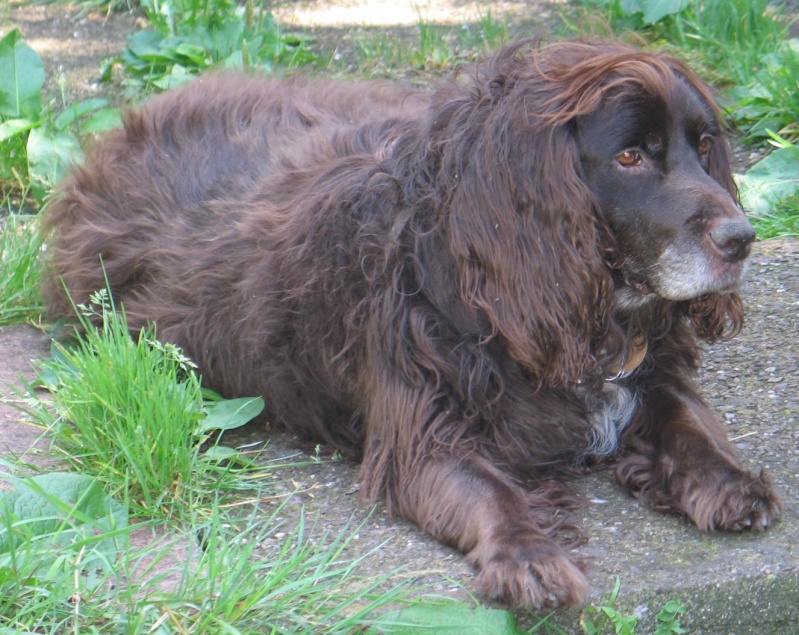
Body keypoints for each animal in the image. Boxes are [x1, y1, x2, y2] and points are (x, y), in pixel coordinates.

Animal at [42, 38, 780, 608]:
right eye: (630, 156)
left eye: (705, 146)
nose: (742, 238)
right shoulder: (424, 434)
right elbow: (493, 495)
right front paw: (528, 557)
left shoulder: (651, 372)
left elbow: (690, 424)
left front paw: (731, 482)